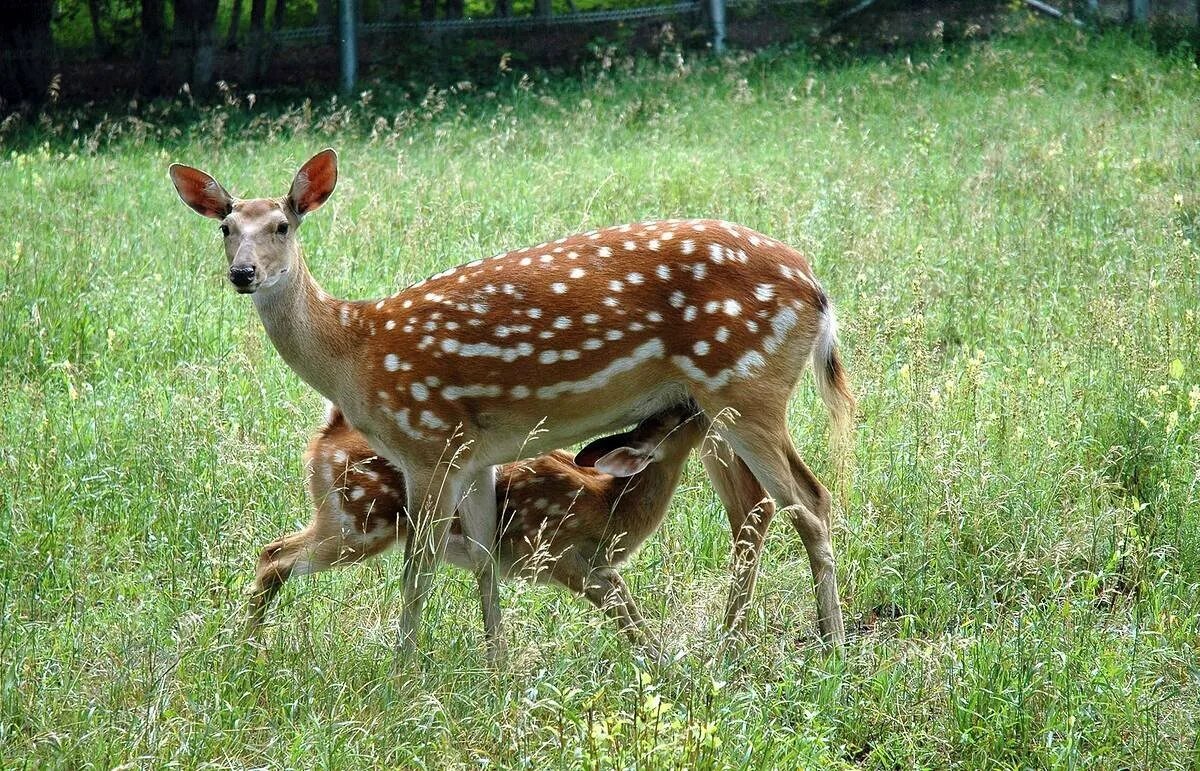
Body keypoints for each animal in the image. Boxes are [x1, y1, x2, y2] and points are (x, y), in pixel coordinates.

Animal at [249, 396, 705, 653]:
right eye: (676, 419)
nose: (698, 404)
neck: (609, 506)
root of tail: (330, 433)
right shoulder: (555, 553)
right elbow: (621, 610)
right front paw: (668, 669)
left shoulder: (597, 564)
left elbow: (628, 605)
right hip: (358, 522)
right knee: (274, 555)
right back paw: (248, 645)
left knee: (274, 553)